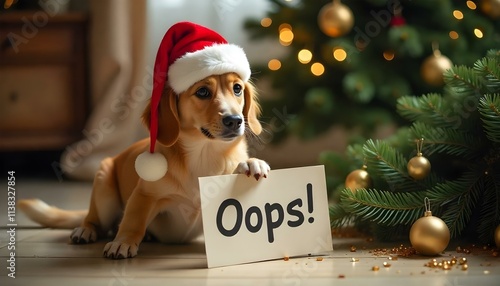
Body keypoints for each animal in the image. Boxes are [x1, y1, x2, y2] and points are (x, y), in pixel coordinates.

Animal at [19, 71, 270, 260]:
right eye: (202, 92)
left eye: (237, 89)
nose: (235, 121)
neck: (203, 153)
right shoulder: (144, 195)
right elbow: (133, 221)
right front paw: (123, 242)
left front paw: (251, 163)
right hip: (104, 188)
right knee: (94, 220)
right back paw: (86, 230)